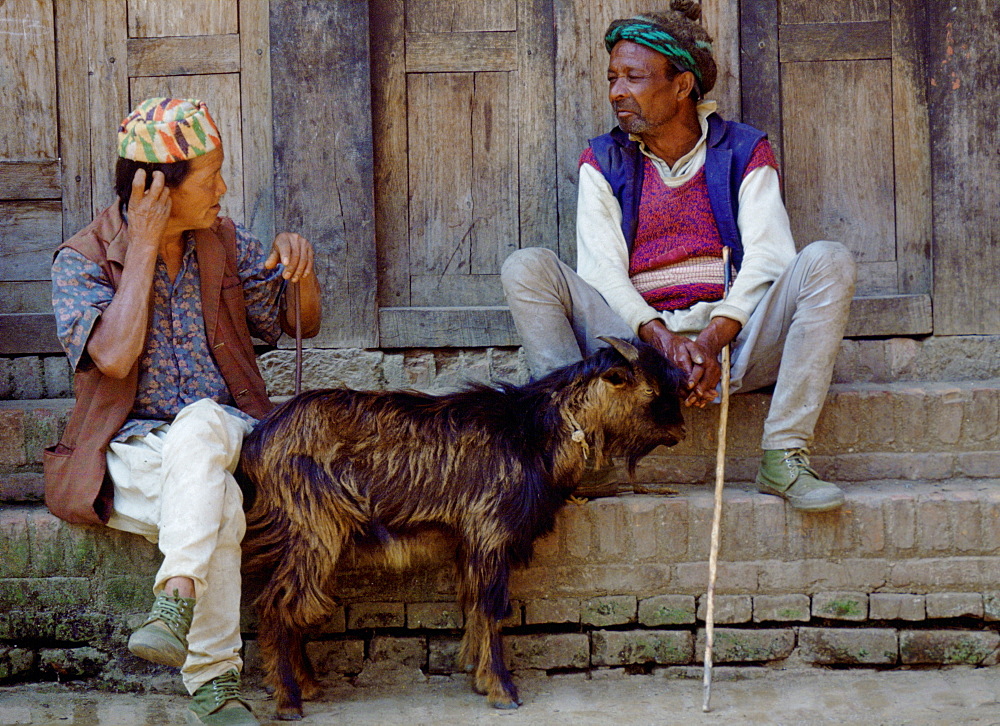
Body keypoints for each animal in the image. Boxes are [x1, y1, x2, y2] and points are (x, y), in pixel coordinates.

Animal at [240, 340, 688, 724]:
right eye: (650, 388)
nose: (681, 432)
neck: (531, 434)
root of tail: (258, 439)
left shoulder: (470, 541)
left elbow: (472, 602)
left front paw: (480, 678)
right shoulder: (489, 529)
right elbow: (491, 606)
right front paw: (503, 691)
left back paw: (307, 685)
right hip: (314, 528)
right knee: (278, 603)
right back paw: (288, 700)